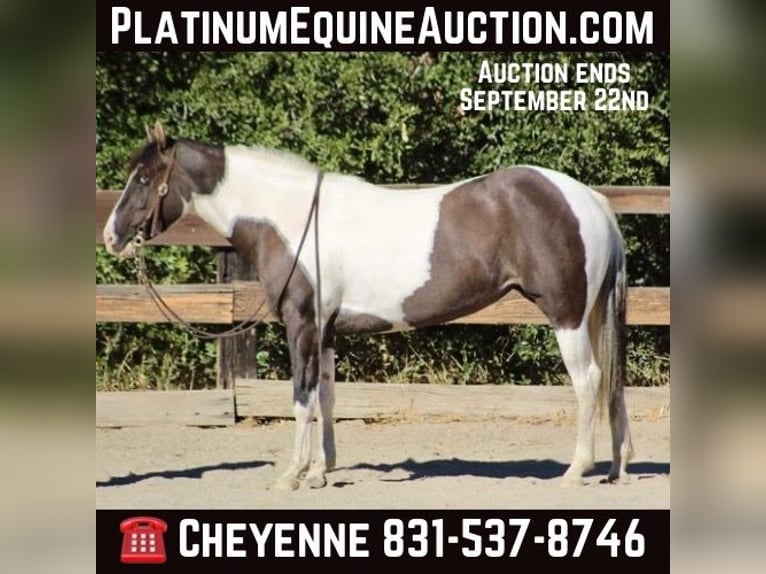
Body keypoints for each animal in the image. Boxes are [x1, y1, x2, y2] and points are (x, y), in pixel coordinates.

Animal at [103, 121, 633, 489]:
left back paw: (576, 470)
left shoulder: (301, 325)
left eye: (145, 178)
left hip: (566, 317)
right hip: (588, 316)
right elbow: (326, 398)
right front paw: (321, 471)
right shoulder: (326, 331)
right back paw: (616, 466)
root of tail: (588, 198)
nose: (111, 237)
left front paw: (291, 475)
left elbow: (300, 398)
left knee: (589, 381)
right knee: (611, 383)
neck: (292, 221)